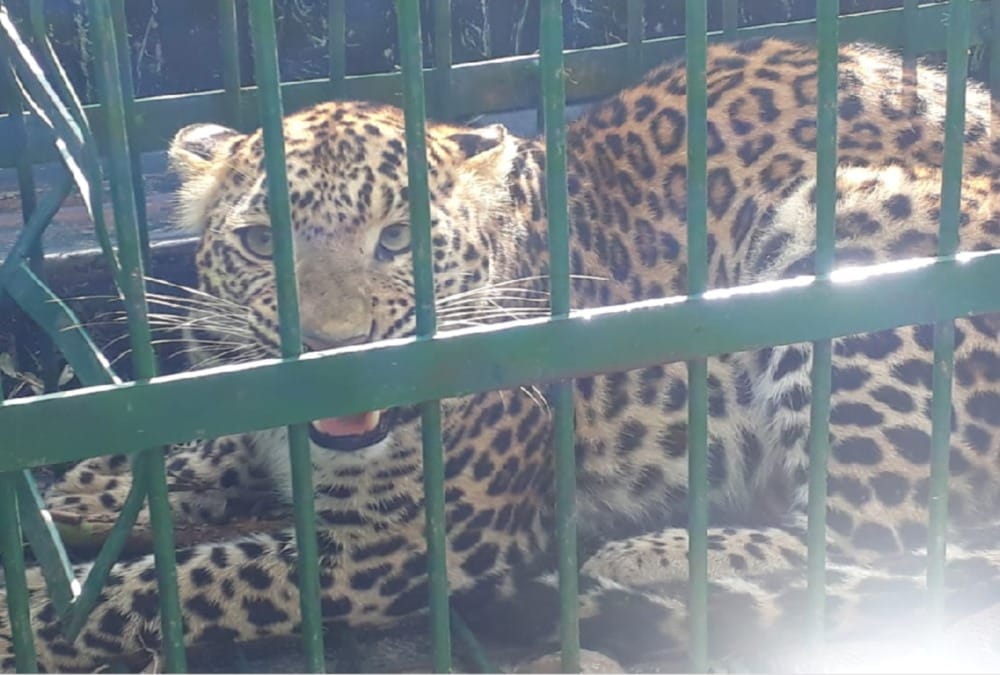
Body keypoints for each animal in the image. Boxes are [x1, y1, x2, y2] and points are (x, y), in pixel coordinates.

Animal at [4, 36, 1000, 672]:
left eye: (397, 240)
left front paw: (27, 616)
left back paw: (647, 556)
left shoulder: (400, 541)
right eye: (259, 245)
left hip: (852, 237)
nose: (332, 351)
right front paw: (87, 487)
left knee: (892, 551)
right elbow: (191, 449)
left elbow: (182, 580)